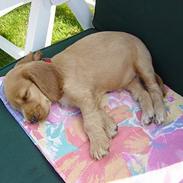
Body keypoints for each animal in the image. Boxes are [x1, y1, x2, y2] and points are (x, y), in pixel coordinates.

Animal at [3, 31, 166, 160]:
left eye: (26, 95)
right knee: (143, 93)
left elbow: (89, 122)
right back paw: (148, 113)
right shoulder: (91, 97)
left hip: (143, 66)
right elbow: (98, 113)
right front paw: (109, 127)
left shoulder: (84, 97)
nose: (32, 121)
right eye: (17, 109)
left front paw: (97, 144)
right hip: (128, 81)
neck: (58, 72)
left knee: (154, 90)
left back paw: (159, 112)